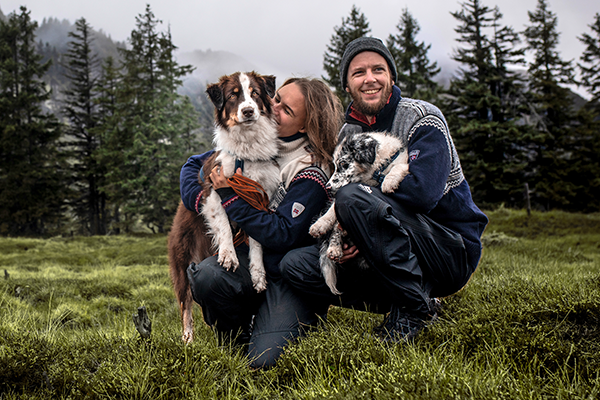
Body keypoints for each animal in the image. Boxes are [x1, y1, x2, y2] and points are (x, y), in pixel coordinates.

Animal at [168, 71, 280, 340]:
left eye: (255, 94)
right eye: (232, 96)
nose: (248, 111)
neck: (246, 152)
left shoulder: (259, 198)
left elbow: (258, 240)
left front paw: (258, 273)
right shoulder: (212, 192)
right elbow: (225, 226)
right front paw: (229, 255)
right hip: (182, 261)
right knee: (185, 304)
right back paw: (188, 339)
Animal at [308, 131, 410, 294]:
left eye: (344, 164)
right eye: (335, 165)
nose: (328, 187)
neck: (376, 172)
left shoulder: (403, 163)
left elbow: (398, 167)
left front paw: (389, 182)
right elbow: (333, 208)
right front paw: (320, 224)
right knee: (337, 228)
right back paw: (334, 248)